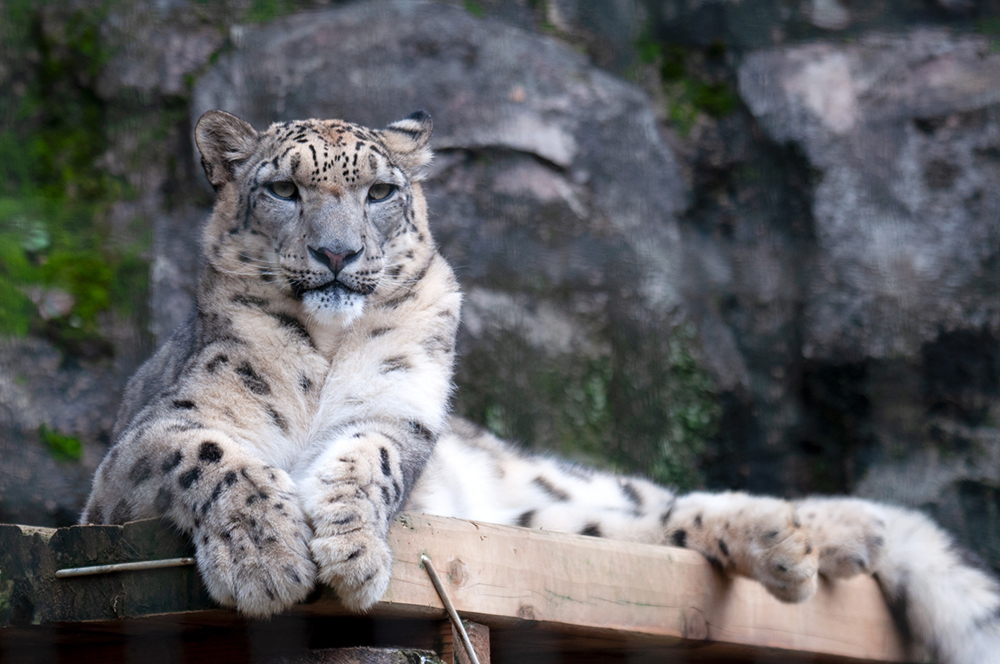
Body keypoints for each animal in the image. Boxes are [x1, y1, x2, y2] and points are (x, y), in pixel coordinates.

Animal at [84, 110, 1000, 664]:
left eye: (379, 193)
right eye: (283, 189)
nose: (339, 254)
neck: (328, 349)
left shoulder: (402, 418)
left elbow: (370, 457)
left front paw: (348, 548)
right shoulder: (138, 453)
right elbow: (216, 454)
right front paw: (267, 558)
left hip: (549, 486)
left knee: (657, 502)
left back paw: (819, 537)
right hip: (544, 518)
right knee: (644, 525)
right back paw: (802, 546)